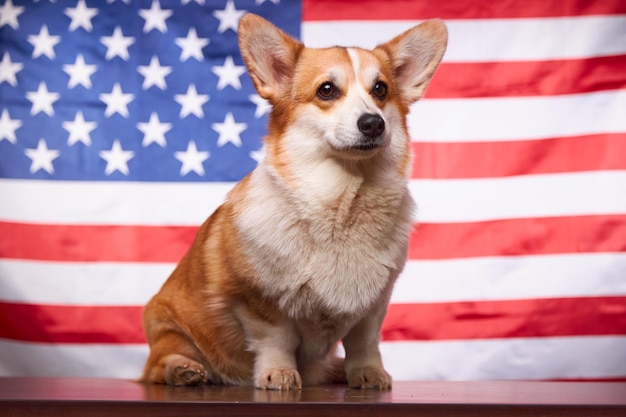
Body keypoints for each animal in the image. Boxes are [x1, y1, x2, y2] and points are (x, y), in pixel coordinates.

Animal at [140, 13, 446, 390]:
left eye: (381, 90)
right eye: (326, 90)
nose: (373, 123)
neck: (342, 203)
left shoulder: (373, 305)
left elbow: (364, 343)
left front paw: (368, 373)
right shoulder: (258, 301)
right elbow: (277, 340)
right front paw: (279, 373)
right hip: (167, 326)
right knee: (159, 365)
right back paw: (184, 371)